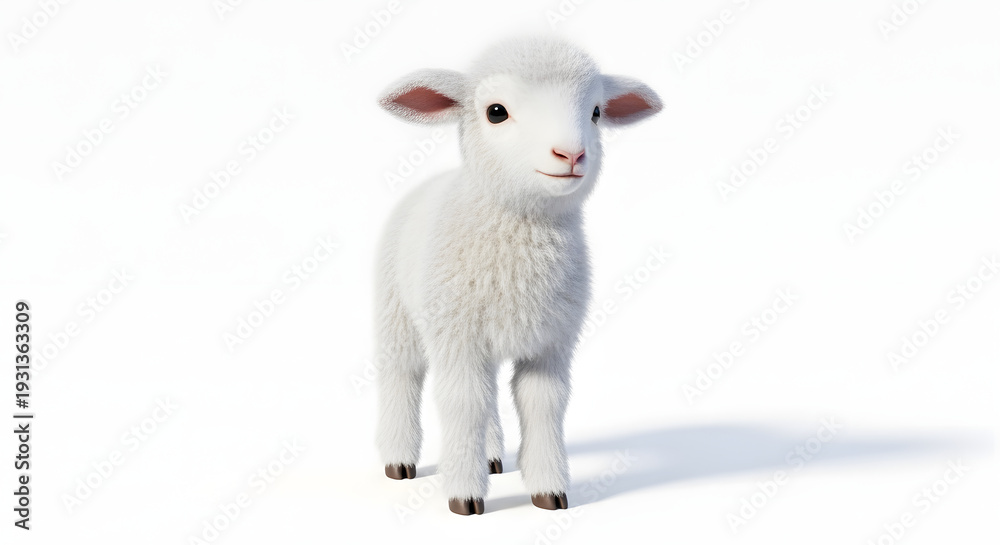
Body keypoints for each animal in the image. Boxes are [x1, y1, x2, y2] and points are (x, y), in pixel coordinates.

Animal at [374, 36, 662, 515]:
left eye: (595, 112)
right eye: (496, 111)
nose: (571, 154)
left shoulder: (552, 343)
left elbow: (543, 405)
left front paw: (549, 491)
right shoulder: (458, 337)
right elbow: (464, 404)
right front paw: (464, 495)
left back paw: (491, 458)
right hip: (395, 312)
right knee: (402, 377)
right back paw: (398, 461)